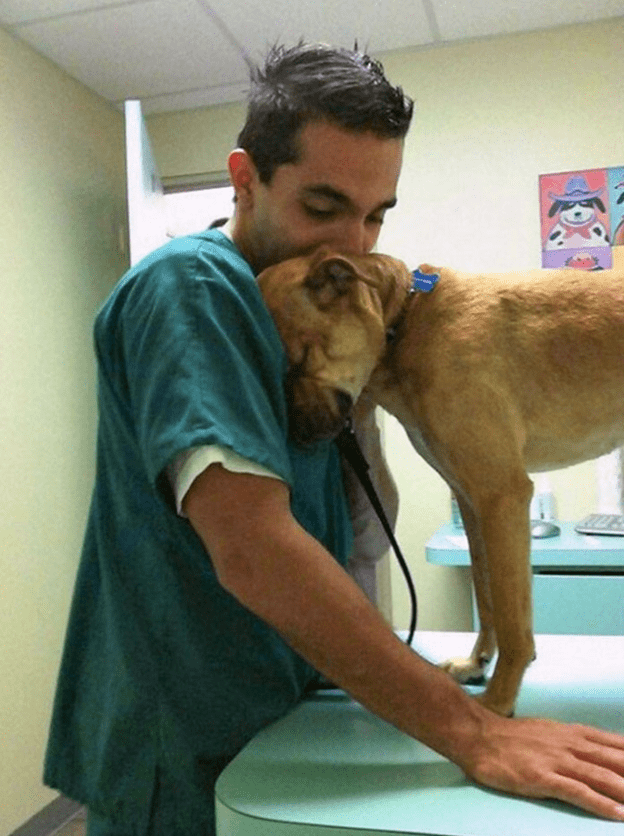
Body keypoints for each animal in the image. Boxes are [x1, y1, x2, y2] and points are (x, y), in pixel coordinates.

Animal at [258, 247, 624, 712]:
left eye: (298, 359)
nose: (297, 439)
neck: (408, 320)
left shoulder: (501, 495)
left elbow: (512, 617)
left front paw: (498, 702)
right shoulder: (471, 501)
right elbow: (485, 594)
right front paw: (478, 662)